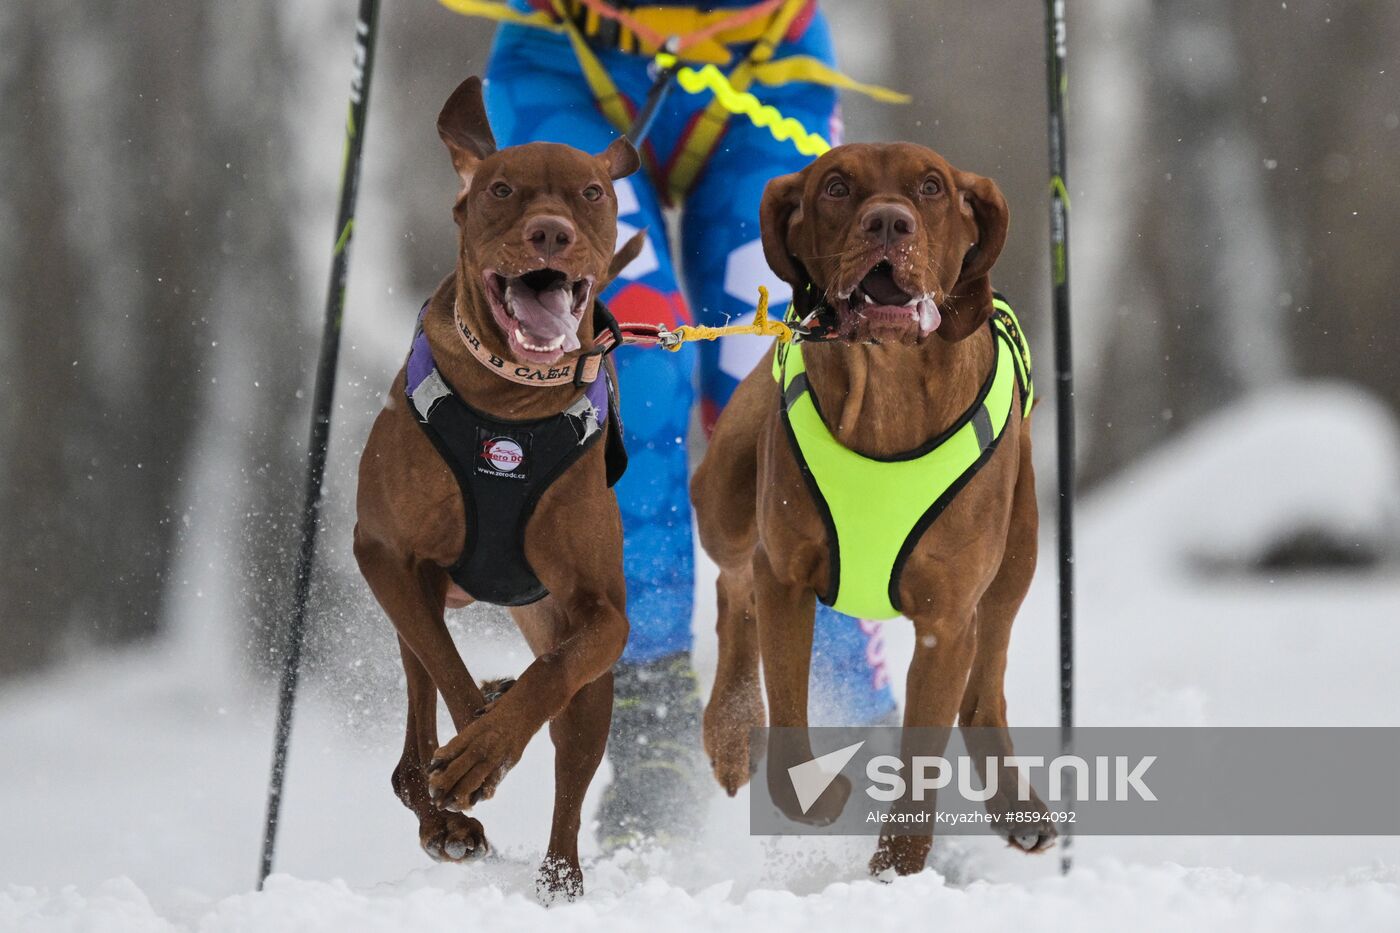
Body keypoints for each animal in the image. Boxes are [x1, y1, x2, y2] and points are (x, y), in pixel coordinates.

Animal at [358, 78, 646, 896]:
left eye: (590, 192)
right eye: (502, 190)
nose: (550, 233)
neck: (512, 402)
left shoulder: (602, 615)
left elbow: (555, 673)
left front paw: (488, 744)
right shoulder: (382, 553)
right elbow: (447, 673)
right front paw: (473, 754)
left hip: (580, 666)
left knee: (570, 758)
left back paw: (559, 880)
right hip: (414, 592)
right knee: (414, 732)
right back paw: (444, 816)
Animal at [694, 141, 1052, 874]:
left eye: (932, 186)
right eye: (835, 186)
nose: (889, 222)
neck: (889, 388)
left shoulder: (946, 618)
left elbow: (922, 759)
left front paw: (896, 871)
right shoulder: (787, 577)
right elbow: (790, 720)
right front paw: (816, 796)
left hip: (1021, 543)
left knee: (986, 682)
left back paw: (1015, 805)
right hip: (725, 495)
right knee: (732, 578)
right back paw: (732, 730)